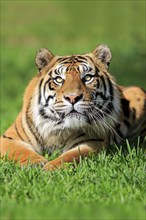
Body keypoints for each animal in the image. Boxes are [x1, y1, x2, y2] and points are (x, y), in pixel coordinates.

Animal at [0, 43, 145, 171]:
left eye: (87, 78)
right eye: (59, 79)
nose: (73, 98)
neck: (57, 132)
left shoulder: (92, 140)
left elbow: (71, 155)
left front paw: (50, 168)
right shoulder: (8, 138)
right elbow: (20, 151)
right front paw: (35, 163)